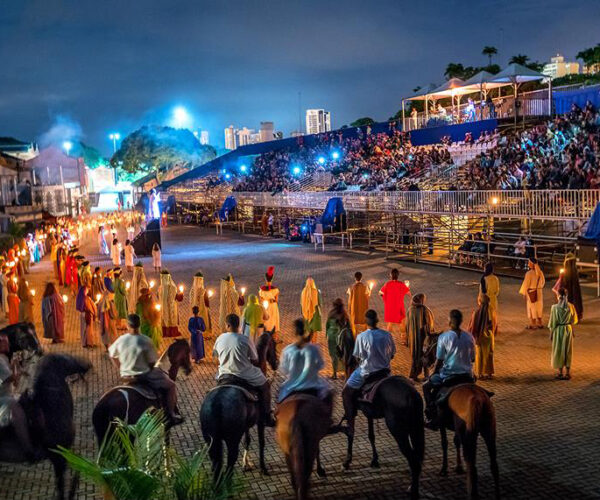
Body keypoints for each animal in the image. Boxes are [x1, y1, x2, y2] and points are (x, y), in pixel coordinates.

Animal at [200, 328, 278, 480]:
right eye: (274, 344)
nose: (276, 363)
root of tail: (216, 404)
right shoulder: (260, 421)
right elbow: (261, 442)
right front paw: (263, 468)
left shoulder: (246, 425)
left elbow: (247, 440)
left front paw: (246, 464)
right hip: (232, 439)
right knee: (229, 464)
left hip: (211, 441)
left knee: (216, 467)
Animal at [338, 328, 426, 500]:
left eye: (338, 337)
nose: (338, 352)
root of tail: (411, 395)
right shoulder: (369, 413)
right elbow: (371, 435)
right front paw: (374, 460)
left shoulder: (350, 409)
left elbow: (350, 433)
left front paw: (347, 461)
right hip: (415, 427)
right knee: (417, 458)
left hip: (398, 430)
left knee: (413, 460)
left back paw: (413, 490)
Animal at [422, 334, 502, 498]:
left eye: (428, 343)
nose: (423, 360)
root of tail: (478, 400)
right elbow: (455, 441)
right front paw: (458, 467)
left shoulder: (442, 422)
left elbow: (445, 443)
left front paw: (444, 469)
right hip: (489, 430)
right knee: (493, 464)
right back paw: (496, 493)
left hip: (468, 432)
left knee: (471, 462)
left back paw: (472, 492)